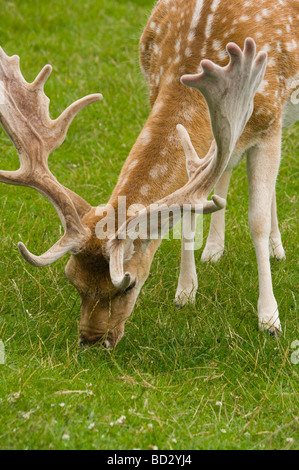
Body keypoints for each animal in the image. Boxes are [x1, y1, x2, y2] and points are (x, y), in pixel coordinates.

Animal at [0, 0, 298, 348]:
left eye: (127, 285)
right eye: (72, 280)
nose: (91, 339)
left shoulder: (269, 119)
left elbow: (256, 221)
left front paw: (270, 319)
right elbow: (189, 206)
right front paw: (186, 291)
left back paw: (277, 249)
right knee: (224, 171)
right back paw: (214, 249)